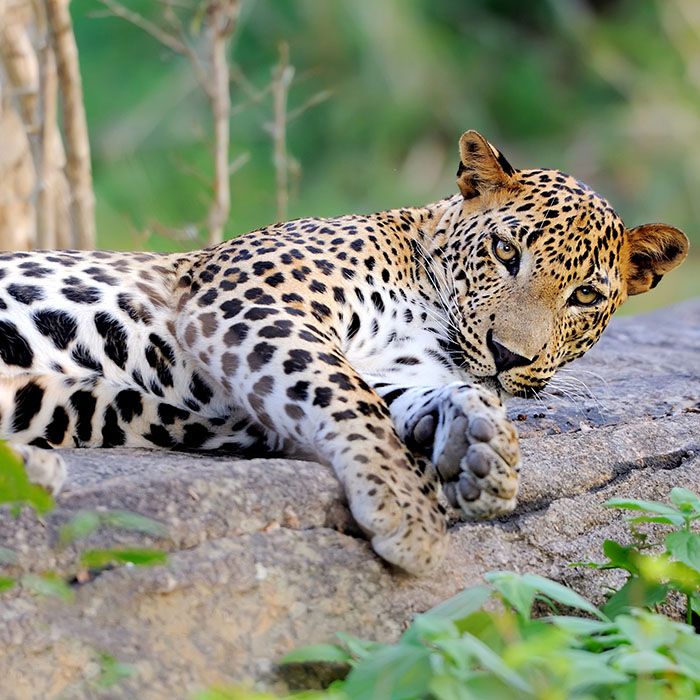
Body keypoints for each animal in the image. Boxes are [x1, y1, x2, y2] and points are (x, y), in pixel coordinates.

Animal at [0, 131, 688, 576]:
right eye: (504, 252)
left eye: (585, 295)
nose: (507, 355)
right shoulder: (254, 302)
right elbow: (346, 396)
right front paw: (409, 513)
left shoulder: (392, 366)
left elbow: (399, 396)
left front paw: (480, 445)